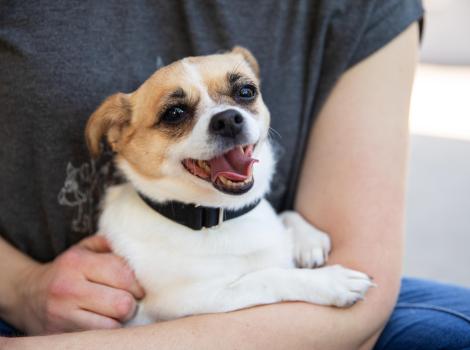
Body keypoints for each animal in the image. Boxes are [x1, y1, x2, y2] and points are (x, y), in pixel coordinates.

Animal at [83, 46, 370, 326]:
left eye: (246, 92)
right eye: (174, 113)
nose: (229, 119)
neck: (221, 216)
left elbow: (285, 215)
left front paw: (308, 240)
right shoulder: (193, 299)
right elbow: (266, 277)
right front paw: (330, 281)